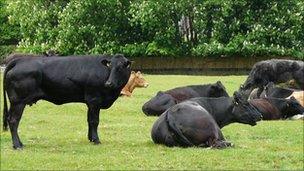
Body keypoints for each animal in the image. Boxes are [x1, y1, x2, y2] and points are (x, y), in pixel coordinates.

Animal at [2, 54, 131, 149]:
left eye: (120, 67)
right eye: (110, 66)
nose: (109, 83)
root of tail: (20, 60)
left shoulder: (89, 102)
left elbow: (89, 120)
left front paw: (90, 138)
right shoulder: (94, 99)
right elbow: (94, 121)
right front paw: (96, 140)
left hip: (14, 102)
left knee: (10, 119)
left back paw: (19, 143)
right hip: (18, 101)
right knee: (13, 120)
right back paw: (18, 145)